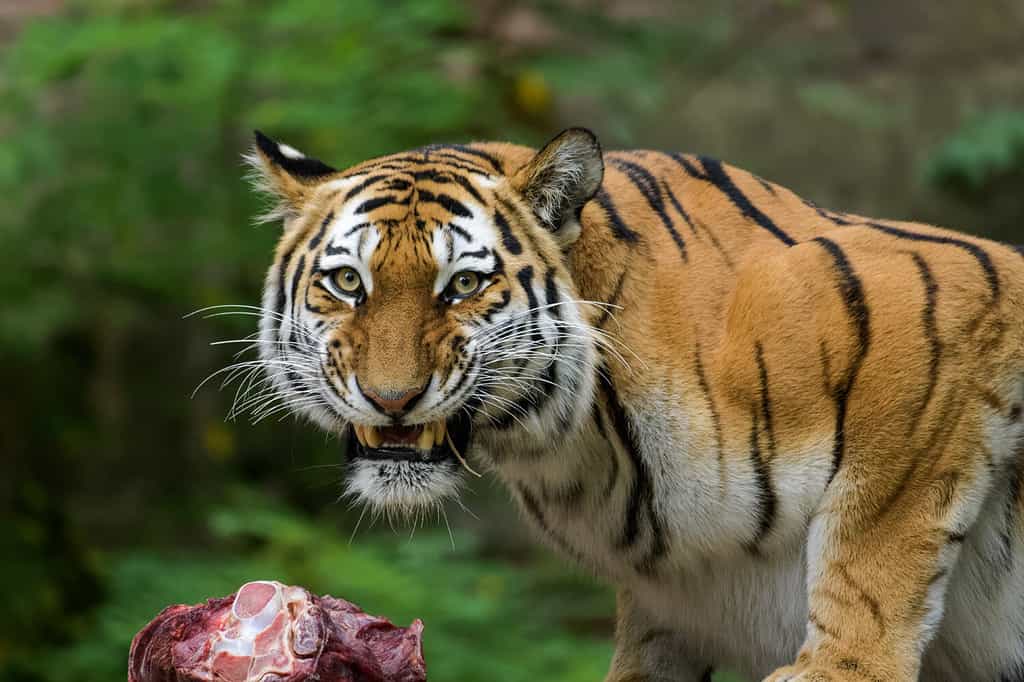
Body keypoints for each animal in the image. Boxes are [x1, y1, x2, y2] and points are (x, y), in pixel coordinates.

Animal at [243, 127, 1024, 681]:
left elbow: (875, 540)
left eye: (462, 285)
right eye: (348, 282)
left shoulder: (942, 320)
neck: (581, 441)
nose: (392, 397)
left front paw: (840, 667)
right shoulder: (667, 597)